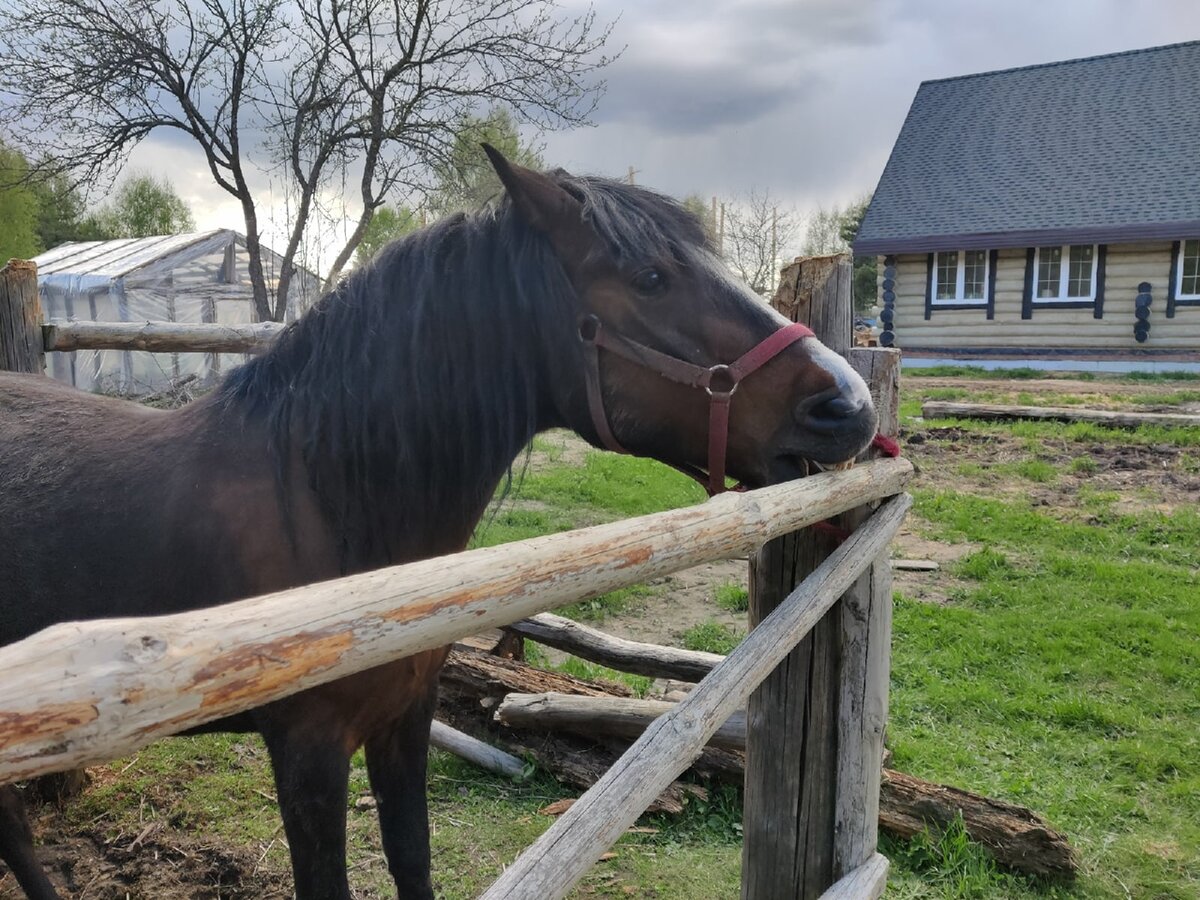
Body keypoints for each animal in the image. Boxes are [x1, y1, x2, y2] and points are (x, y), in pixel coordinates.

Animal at [0, 146, 883, 897]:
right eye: (652, 276)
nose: (848, 406)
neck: (326, 505)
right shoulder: (308, 757)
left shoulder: (404, 725)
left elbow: (412, 861)